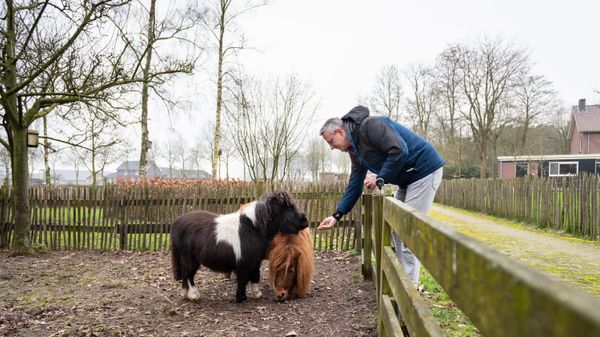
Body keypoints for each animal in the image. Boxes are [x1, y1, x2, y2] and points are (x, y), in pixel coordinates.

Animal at [170, 189, 308, 302]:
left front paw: (256, 294)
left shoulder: (255, 261)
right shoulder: (244, 263)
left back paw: (185, 294)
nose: (305, 222)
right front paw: (241, 298)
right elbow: (243, 279)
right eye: (287, 208)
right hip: (189, 258)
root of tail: (176, 223)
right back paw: (193, 295)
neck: (253, 227)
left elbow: (255, 276)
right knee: (188, 274)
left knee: (185, 275)